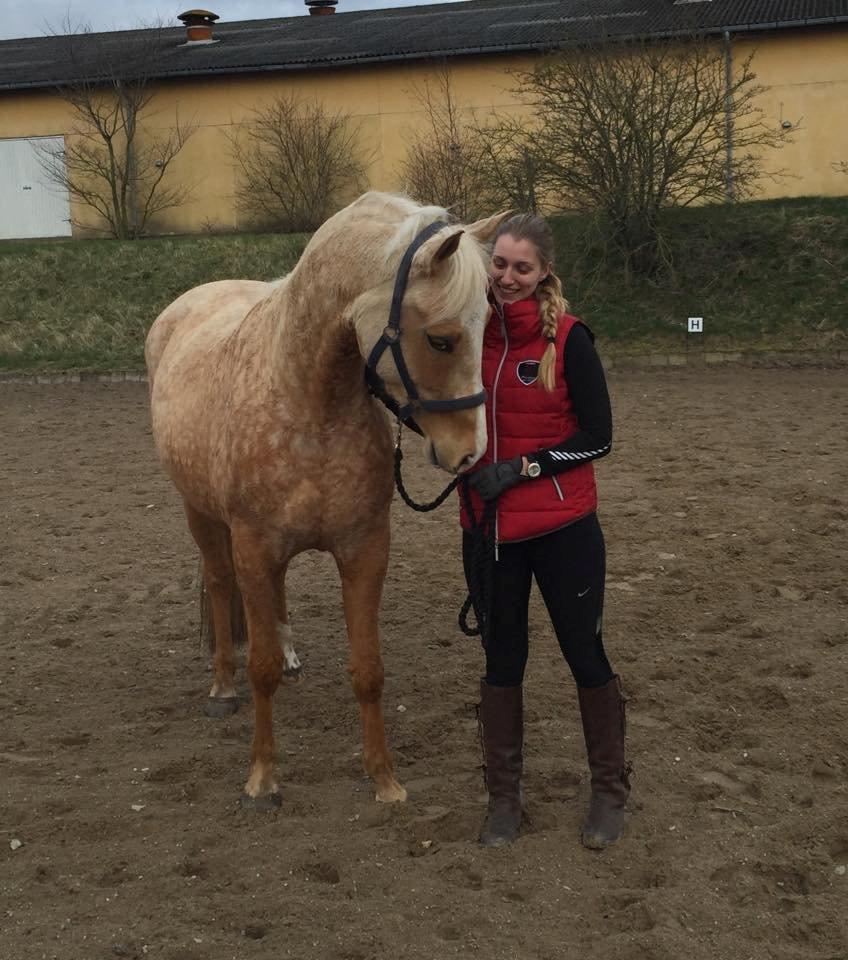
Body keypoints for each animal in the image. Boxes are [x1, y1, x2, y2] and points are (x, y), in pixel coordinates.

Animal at [144, 195, 510, 808]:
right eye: (441, 339)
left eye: (488, 328)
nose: (470, 453)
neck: (308, 404)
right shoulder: (253, 547)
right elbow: (261, 667)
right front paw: (262, 779)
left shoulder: (364, 549)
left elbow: (368, 668)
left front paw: (384, 779)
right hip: (201, 515)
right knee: (219, 586)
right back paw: (222, 688)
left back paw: (292, 658)